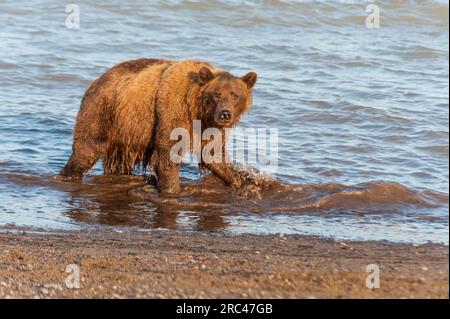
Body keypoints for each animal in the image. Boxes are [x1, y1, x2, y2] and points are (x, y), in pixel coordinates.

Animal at [60, 59, 256, 195]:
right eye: (217, 94)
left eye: (235, 95)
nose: (225, 113)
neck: (197, 108)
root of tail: (97, 80)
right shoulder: (173, 110)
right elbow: (168, 151)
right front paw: (173, 190)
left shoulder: (210, 126)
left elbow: (212, 153)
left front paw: (242, 181)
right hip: (103, 111)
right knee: (86, 150)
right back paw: (69, 175)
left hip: (124, 131)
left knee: (119, 162)